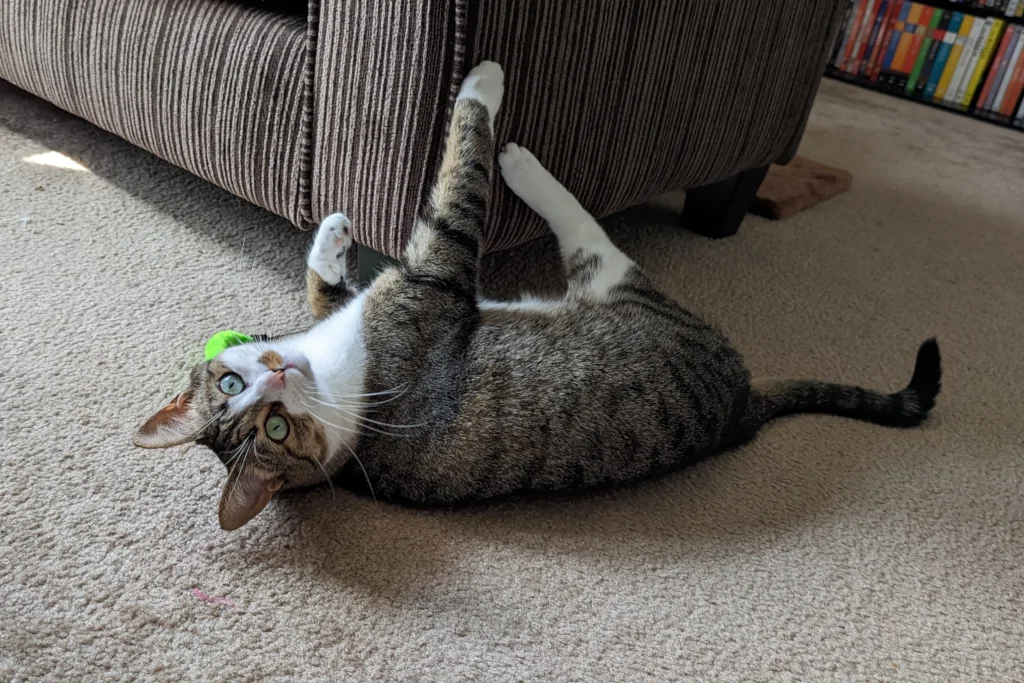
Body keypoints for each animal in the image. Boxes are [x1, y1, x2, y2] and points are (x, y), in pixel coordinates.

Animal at [134, 61, 942, 532]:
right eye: (271, 428)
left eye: (231, 381)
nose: (276, 377)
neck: (339, 389)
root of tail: (743, 405)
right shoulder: (433, 278)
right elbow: (459, 175)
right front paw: (481, 89)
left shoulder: (363, 305)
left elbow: (324, 286)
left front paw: (332, 233)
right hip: (620, 286)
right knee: (587, 230)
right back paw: (517, 151)